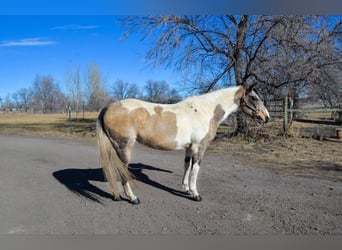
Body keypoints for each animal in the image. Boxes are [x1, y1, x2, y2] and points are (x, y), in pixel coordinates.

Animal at [95, 83, 270, 204]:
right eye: (254, 97)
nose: (266, 117)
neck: (206, 110)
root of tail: (109, 107)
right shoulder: (200, 147)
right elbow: (195, 169)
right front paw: (195, 194)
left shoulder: (189, 147)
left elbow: (187, 166)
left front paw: (186, 189)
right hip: (124, 146)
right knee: (122, 170)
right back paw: (132, 198)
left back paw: (116, 195)